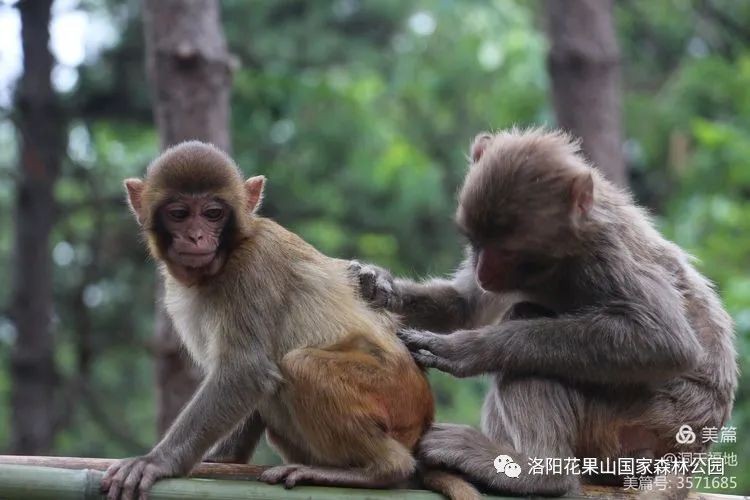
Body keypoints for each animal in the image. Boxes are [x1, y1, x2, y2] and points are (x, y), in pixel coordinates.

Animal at [100, 141, 478, 500]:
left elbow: (245, 371)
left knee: (301, 364)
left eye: (212, 213)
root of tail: (423, 416)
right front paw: (223, 459)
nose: (195, 236)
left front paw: (157, 462)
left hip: (392, 395)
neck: (228, 255)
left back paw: (381, 470)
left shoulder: (252, 266)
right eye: (179, 214)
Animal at [352, 129, 740, 496]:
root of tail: (693, 448)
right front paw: (378, 287)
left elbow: (665, 341)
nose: (483, 271)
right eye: (477, 243)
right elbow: (467, 306)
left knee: (528, 343)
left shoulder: (605, 254)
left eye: (507, 251)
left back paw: (538, 473)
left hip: (641, 419)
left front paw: (470, 350)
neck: (558, 262)